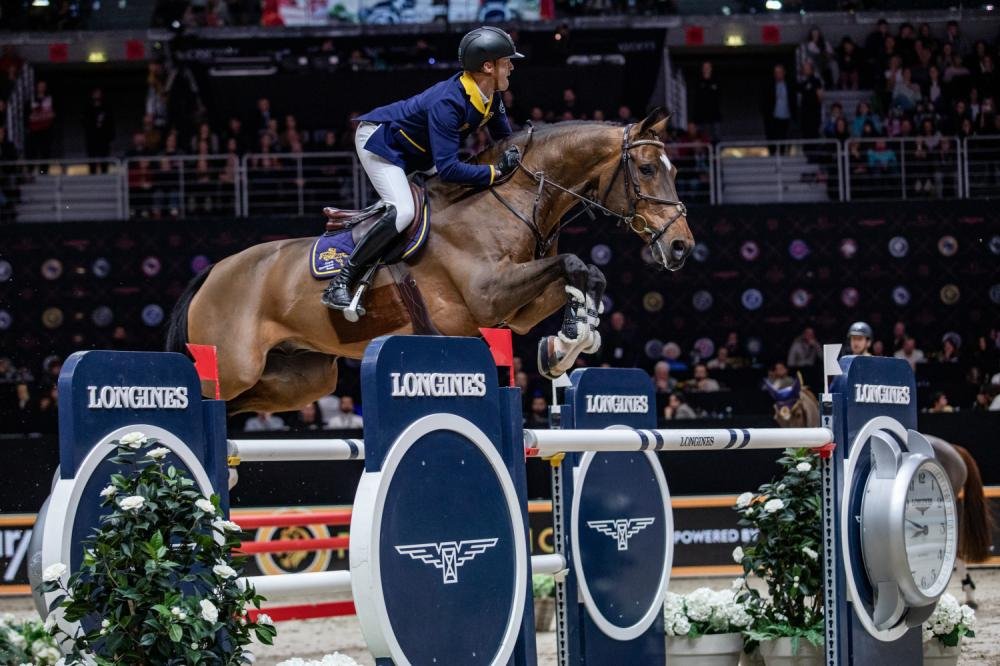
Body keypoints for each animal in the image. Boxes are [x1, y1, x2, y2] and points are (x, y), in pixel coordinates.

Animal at [165, 112, 695, 415]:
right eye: (647, 169)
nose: (682, 247)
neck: (510, 201)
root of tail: (211, 273)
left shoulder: (516, 310)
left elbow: (585, 273)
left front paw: (566, 343)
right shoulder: (488, 298)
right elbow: (574, 263)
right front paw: (569, 338)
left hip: (301, 378)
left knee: (240, 405)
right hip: (236, 364)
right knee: (212, 396)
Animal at [765, 376, 994, 606]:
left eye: (797, 413)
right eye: (776, 417)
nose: (795, 452)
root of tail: (955, 448)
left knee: (955, 548)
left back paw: (968, 592)